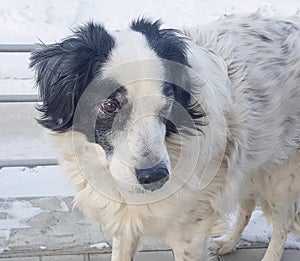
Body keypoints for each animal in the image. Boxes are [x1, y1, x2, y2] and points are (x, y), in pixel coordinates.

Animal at [29, 14, 300, 260]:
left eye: (168, 101)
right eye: (110, 104)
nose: (154, 176)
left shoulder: (190, 232)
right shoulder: (126, 219)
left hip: (280, 178)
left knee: (282, 224)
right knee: (247, 204)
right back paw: (228, 242)